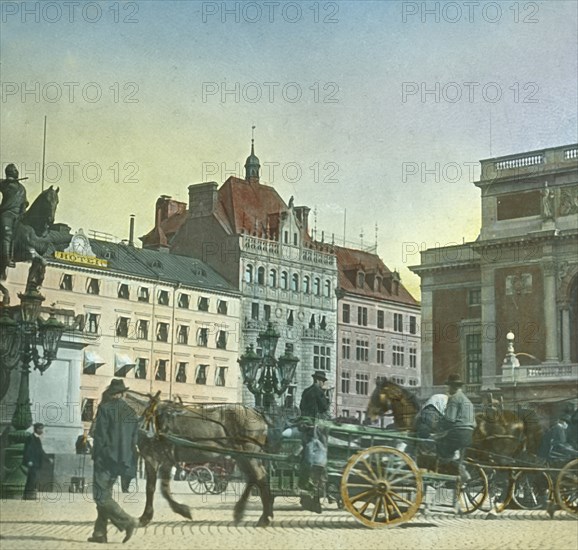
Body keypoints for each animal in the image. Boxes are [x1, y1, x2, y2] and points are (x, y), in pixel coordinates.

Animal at [124, 392, 272, 532]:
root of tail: (257, 414)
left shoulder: (159, 459)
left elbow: (157, 488)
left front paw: (177, 511)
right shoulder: (159, 460)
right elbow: (157, 488)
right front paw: (151, 516)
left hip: (248, 455)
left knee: (259, 477)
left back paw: (263, 517)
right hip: (241, 457)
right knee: (253, 478)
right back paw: (243, 511)